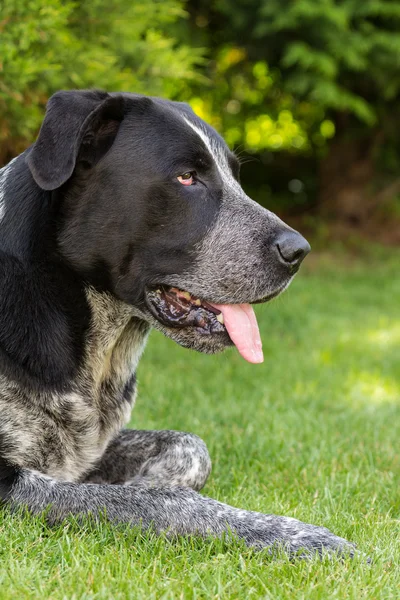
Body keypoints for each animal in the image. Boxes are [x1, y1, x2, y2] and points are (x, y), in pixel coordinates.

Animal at [0, 90, 354, 556]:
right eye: (187, 178)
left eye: (235, 176)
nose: (298, 251)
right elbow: (155, 503)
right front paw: (292, 535)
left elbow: (190, 446)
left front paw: (144, 480)